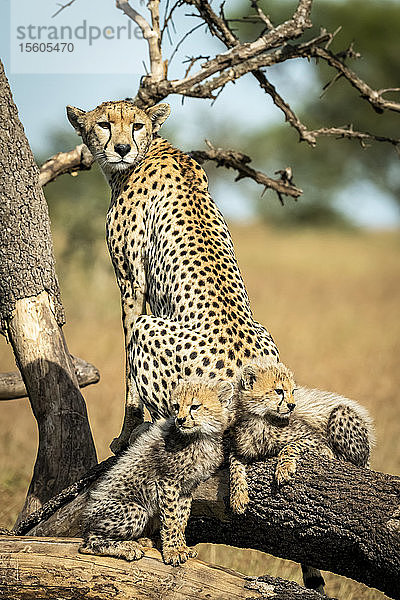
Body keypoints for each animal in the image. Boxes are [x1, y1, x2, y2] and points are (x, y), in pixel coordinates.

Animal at [66, 101, 278, 452]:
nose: (122, 149)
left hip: (149, 332)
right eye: (104, 124)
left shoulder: (131, 282)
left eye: (136, 125)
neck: (152, 148)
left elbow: (128, 372)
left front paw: (125, 434)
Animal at [79, 380, 233, 568]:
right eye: (176, 406)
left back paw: (144, 541)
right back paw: (127, 547)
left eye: (195, 406)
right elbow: (171, 518)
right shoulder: (167, 482)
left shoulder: (188, 486)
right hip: (135, 510)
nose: (180, 420)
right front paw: (173, 551)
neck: (201, 436)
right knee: (88, 542)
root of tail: (87, 518)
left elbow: (182, 517)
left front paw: (182, 547)